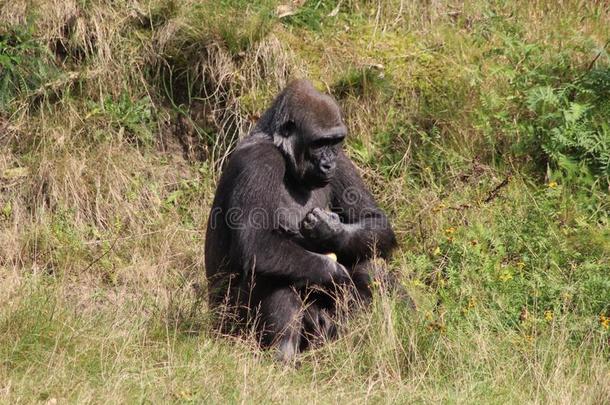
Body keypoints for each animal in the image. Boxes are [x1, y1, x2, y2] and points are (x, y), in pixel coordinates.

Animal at [203, 78, 394, 360]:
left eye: (335, 141)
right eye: (318, 143)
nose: (328, 164)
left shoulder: (342, 160)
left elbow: (376, 221)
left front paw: (331, 232)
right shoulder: (258, 161)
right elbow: (256, 243)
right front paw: (335, 274)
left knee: (367, 258)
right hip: (229, 326)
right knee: (272, 266)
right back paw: (284, 352)